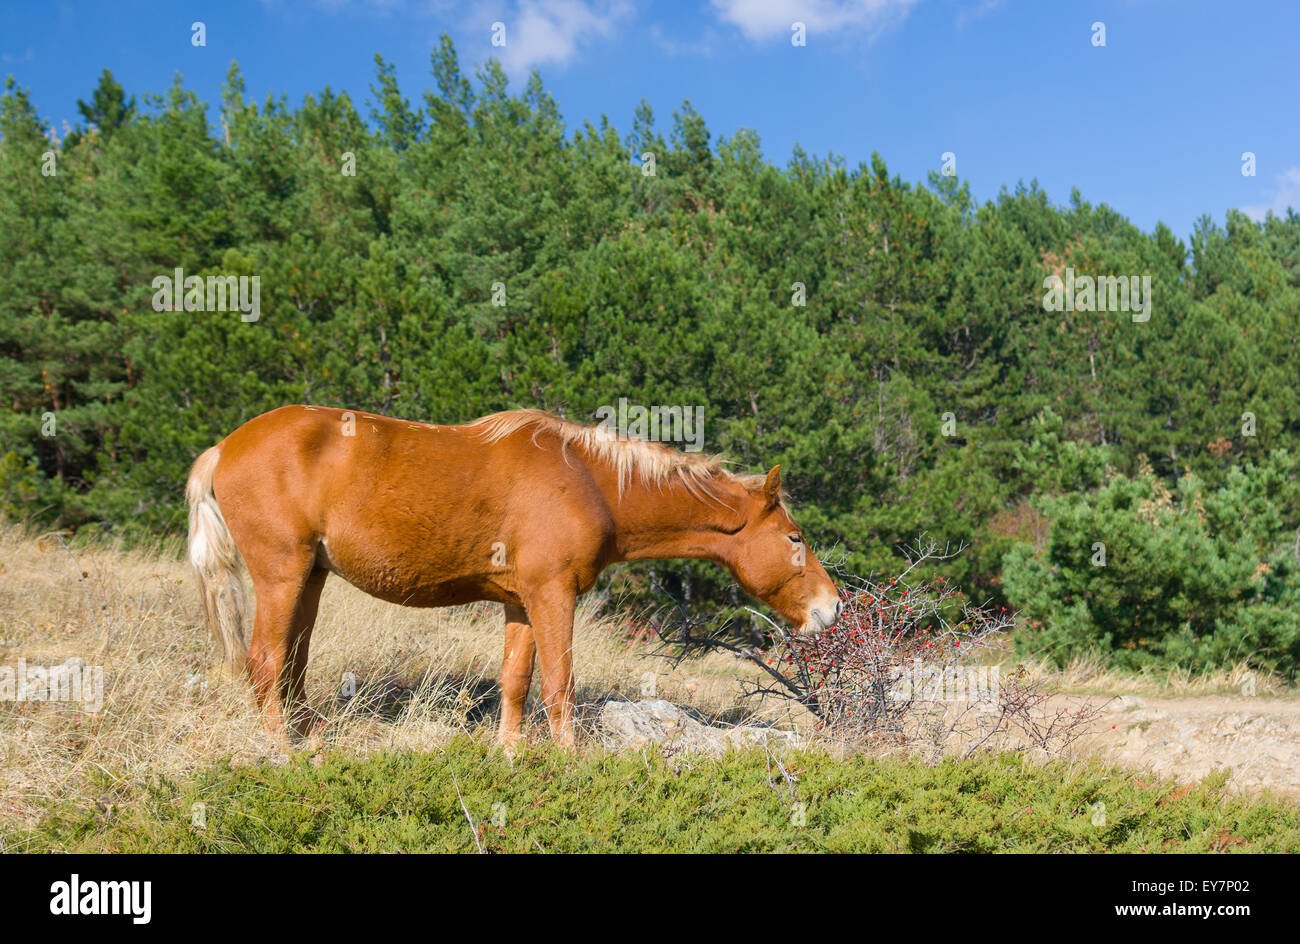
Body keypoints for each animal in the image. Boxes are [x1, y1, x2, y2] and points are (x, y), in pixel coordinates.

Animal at [188, 405, 847, 748]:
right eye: (795, 538)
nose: (831, 607)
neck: (590, 480)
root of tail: (224, 447)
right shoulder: (554, 595)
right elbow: (559, 684)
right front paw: (571, 762)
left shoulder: (519, 602)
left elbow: (515, 681)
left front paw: (510, 755)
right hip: (282, 575)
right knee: (265, 660)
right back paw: (286, 750)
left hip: (311, 578)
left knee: (292, 664)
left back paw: (310, 736)